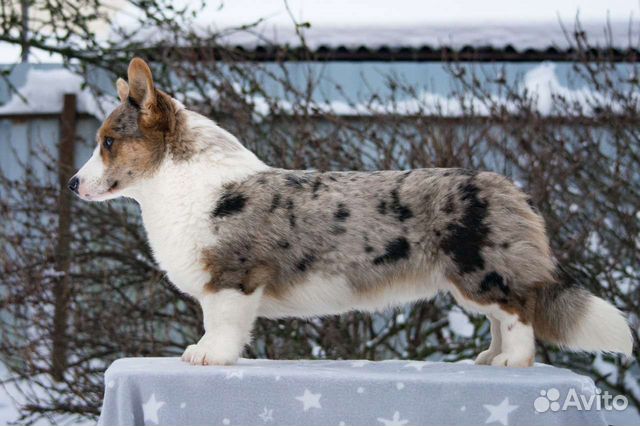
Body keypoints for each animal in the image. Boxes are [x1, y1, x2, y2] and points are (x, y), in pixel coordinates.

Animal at [69, 58, 632, 368]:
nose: (72, 184)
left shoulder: (232, 280)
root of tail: (512, 190)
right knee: (501, 317)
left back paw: (513, 362)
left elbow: (222, 326)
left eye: (109, 142)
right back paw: (490, 358)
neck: (178, 184)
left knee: (517, 315)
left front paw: (207, 356)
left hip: (480, 271)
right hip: (474, 279)